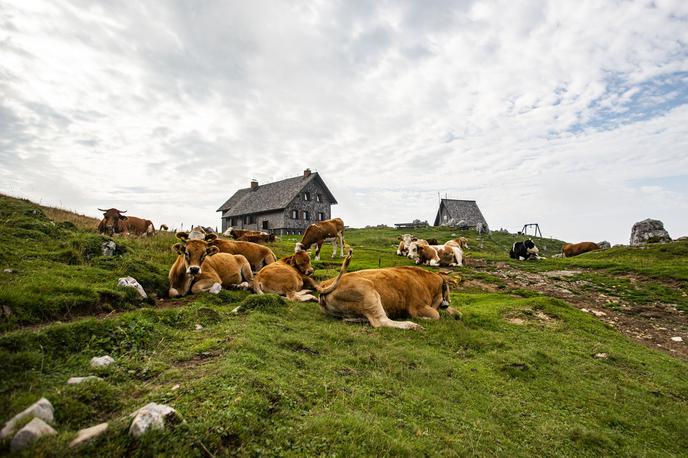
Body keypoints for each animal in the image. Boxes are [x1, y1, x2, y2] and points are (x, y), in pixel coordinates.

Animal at [318, 250, 456, 330]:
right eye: (448, 289)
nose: (448, 302)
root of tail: (324, 285)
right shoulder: (416, 307)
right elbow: (436, 315)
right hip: (369, 294)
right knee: (381, 322)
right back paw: (412, 325)